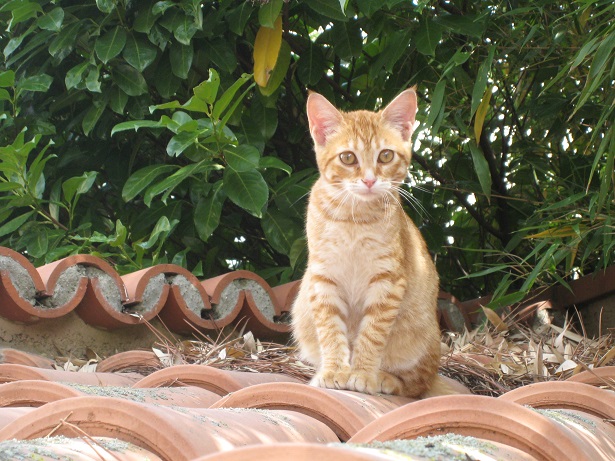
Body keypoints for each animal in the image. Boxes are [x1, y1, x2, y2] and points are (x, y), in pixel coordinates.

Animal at [292, 88, 450, 398]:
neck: (354, 219)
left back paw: (385, 379)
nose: (368, 180)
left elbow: (372, 334)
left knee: (417, 383)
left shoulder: (387, 282)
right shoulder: (323, 279)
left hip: (421, 337)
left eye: (385, 156)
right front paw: (334, 371)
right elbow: (330, 331)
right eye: (348, 158)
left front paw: (363, 373)